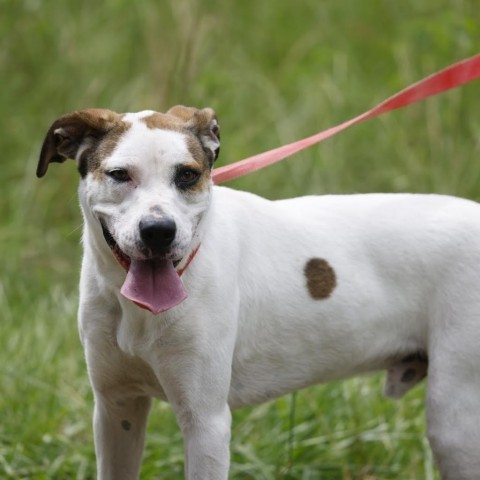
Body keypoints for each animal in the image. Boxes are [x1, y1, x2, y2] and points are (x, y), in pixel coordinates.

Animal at [38, 106, 480, 480]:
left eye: (187, 175)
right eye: (119, 175)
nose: (159, 231)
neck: (137, 310)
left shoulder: (206, 424)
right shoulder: (116, 410)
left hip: (454, 422)